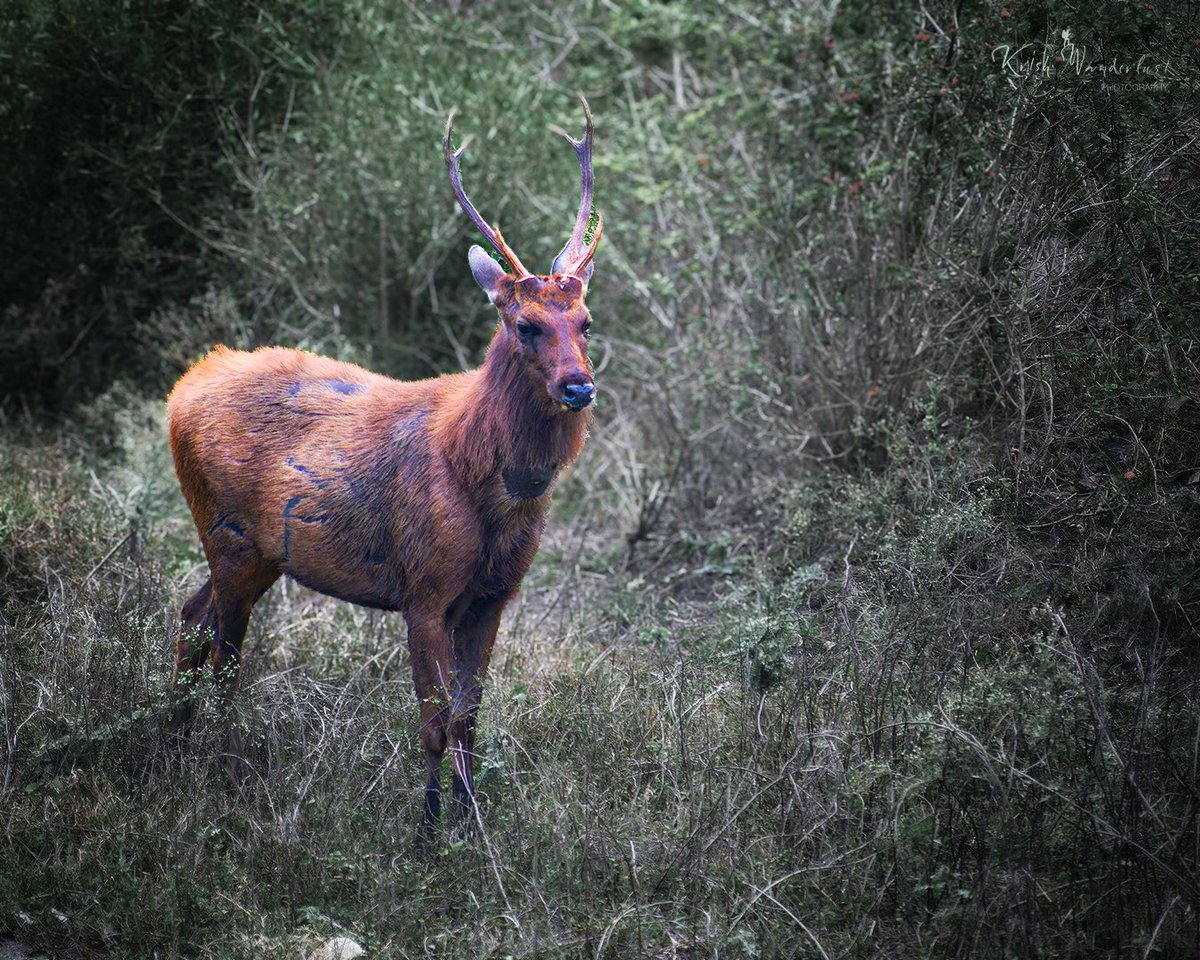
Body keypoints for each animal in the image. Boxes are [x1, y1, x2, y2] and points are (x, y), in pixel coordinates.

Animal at [166, 100, 602, 825]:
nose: (578, 387)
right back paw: (211, 770)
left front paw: (472, 824)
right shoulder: (422, 586)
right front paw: (427, 829)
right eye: (525, 324)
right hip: (226, 533)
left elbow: (470, 718)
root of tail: (183, 386)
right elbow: (434, 723)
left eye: (586, 321)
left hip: (256, 551)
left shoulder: (493, 595)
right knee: (222, 651)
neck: (484, 477)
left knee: (190, 622)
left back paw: (172, 749)